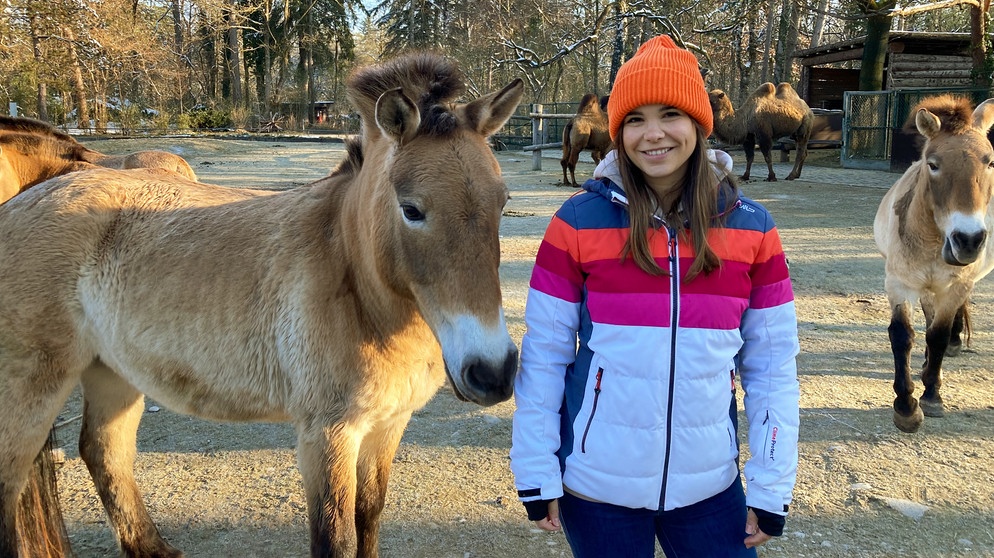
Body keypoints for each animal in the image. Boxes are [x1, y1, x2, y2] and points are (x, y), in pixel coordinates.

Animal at [872, 96, 992, 436]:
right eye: (933, 164)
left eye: (989, 162)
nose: (968, 240)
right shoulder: (900, 283)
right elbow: (903, 335)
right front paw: (905, 406)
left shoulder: (954, 286)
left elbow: (937, 335)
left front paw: (931, 395)